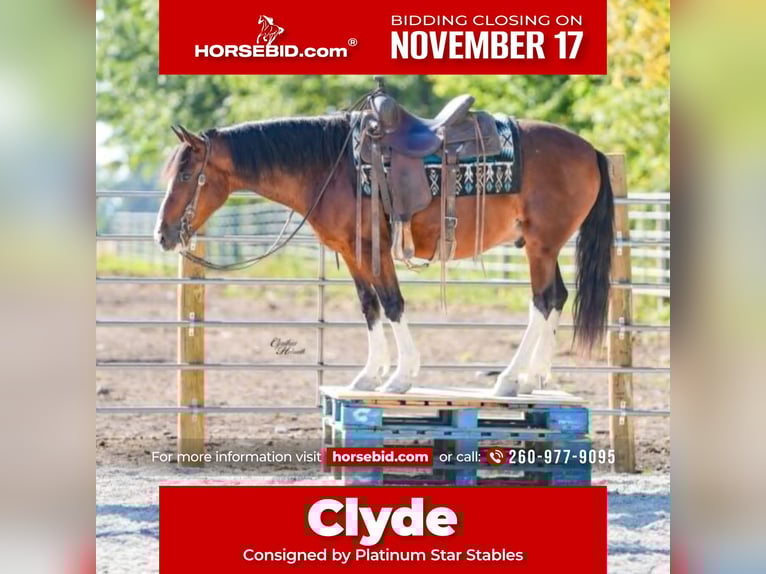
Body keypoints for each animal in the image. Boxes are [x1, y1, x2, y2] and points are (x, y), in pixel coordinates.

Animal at [154, 110, 614, 397]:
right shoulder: (352, 252)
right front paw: (369, 376)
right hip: (544, 247)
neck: (331, 167)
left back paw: (511, 379)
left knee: (542, 300)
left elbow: (393, 303)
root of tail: (590, 150)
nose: (162, 234)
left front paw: (400, 377)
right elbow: (370, 306)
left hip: (541, 246)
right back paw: (535, 378)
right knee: (557, 298)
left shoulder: (374, 248)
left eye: (186, 174)